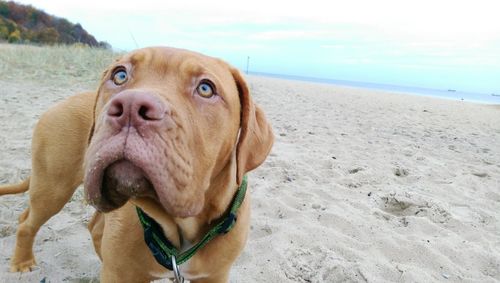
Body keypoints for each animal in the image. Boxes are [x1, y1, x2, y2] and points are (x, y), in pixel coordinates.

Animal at [0, 46, 274, 282]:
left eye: (206, 89)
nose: (130, 107)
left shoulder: (213, 276)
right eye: (120, 75)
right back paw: (23, 262)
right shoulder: (120, 274)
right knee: (27, 222)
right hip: (53, 186)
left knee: (92, 226)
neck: (179, 229)